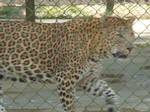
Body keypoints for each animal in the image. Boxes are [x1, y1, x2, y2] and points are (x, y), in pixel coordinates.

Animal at [0, 16, 135, 112]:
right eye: (119, 35)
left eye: (132, 34)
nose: (131, 48)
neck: (95, 49)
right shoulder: (65, 80)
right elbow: (70, 107)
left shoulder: (88, 78)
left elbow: (109, 93)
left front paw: (113, 106)